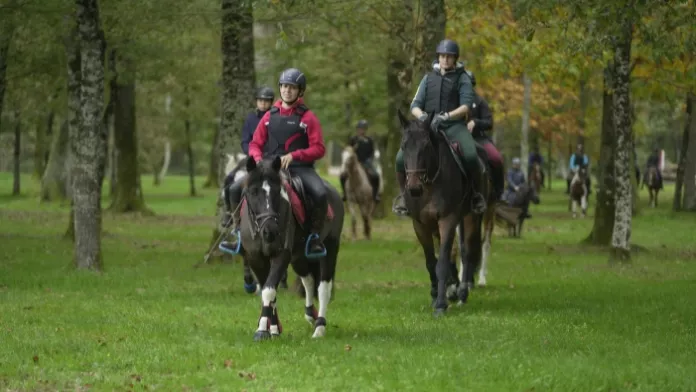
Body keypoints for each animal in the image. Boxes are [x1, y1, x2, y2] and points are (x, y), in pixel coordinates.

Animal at [237, 156, 342, 340]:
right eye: (253, 192)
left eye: (277, 191)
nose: (270, 231)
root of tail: (334, 193)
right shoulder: (256, 258)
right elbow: (268, 291)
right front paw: (273, 329)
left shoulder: (281, 255)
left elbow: (269, 291)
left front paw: (262, 330)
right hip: (299, 258)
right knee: (308, 280)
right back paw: (310, 314)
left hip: (330, 249)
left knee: (324, 287)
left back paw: (319, 328)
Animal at [396, 111, 484, 318]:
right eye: (404, 146)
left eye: (426, 146)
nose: (414, 188)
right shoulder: (420, 224)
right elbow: (431, 261)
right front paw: (435, 294)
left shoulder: (448, 219)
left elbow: (442, 262)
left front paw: (441, 305)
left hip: (470, 217)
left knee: (467, 251)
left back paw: (462, 292)